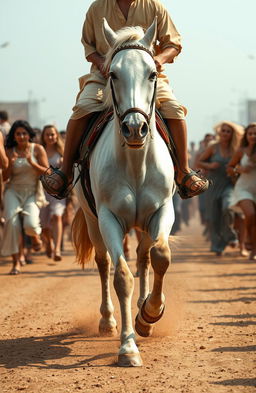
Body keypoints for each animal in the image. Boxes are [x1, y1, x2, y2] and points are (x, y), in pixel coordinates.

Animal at [72, 18, 176, 366]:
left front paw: (150, 313)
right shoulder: (108, 218)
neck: (135, 163)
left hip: (143, 224)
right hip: (92, 220)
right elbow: (121, 276)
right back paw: (107, 320)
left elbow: (160, 256)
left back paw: (146, 313)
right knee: (104, 263)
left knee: (145, 258)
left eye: (152, 73)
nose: (134, 128)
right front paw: (128, 347)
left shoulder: (163, 210)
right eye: (113, 74)